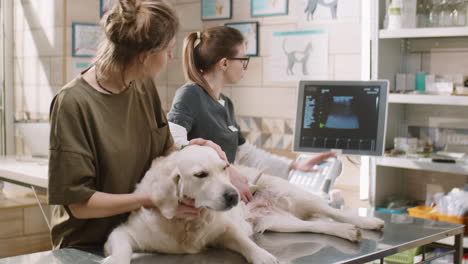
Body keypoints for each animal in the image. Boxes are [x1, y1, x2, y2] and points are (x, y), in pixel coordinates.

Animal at [102, 145, 384, 264]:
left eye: (224, 167)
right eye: (201, 175)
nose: (234, 195)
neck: (188, 223)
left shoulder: (226, 230)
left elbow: (245, 243)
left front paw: (263, 256)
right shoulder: (123, 233)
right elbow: (122, 250)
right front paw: (115, 261)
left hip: (295, 195)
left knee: (332, 212)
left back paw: (366, 222)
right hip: (279, 223)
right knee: (316, 225)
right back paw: (347, 232)